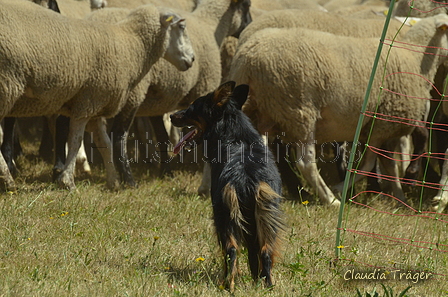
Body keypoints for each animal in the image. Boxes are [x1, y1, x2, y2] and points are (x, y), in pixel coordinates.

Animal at [0, 0, 194, 190]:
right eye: (181, 26)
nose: (192, 59)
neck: (131, 45)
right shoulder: (88, 101)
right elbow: (76, 141)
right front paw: (68, 181)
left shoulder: (97, 105)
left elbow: (105, 143)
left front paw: (113, 182)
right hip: (7, 85)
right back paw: (8, 179)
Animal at [170, 80, 286, 290]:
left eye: (191, 108)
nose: (171, 115)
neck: (235, 136)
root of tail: (246, 177)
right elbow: (254, 255)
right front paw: (256, 280)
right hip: (267, 215)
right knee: (265, 251)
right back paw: (267, 286)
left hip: (225, 216)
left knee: (231, 250)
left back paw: (227, 285)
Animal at [229, 12, 448, 205]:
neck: (416, 59)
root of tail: (248, 59)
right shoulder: (382, 125)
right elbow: (370, 165)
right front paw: (341, 189)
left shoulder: (383, 128)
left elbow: (389, 166)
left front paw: (400, 198)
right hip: (299, 112)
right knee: (306, 163)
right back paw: (329, 199)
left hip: (260, 112)